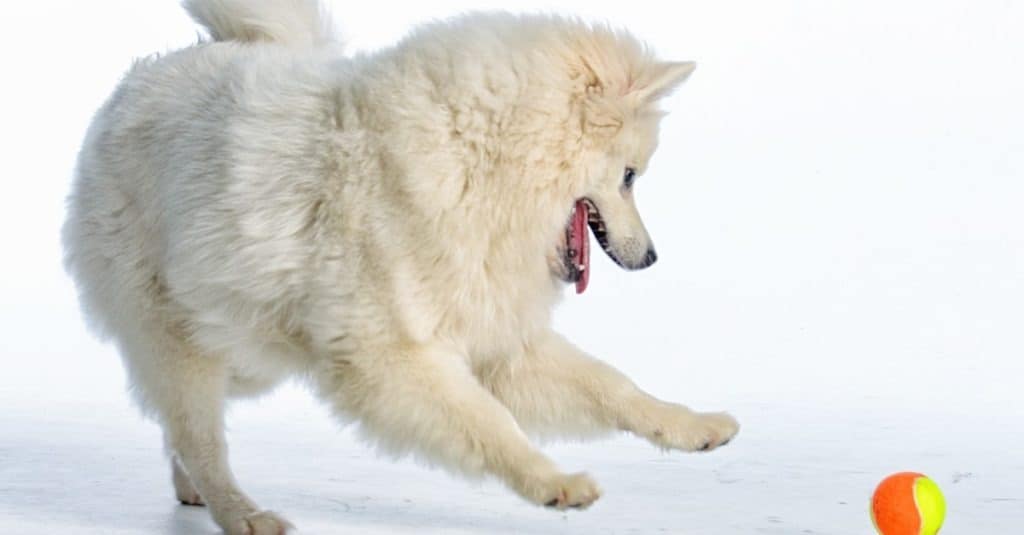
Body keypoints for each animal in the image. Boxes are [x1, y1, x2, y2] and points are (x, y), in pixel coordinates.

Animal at [61, 2, 737, 528]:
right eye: (630, 177)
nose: (651, 258)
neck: (477, 160)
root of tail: (137, 82)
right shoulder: (391, 357)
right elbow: (490, 423)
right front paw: (555, 485)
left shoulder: (498, 344)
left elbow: (613, 386)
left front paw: (692, 426)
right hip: (182, 335)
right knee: (197, 430)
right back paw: (243, 513)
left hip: (249, 344)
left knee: (180, 425)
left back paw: (193, 490)